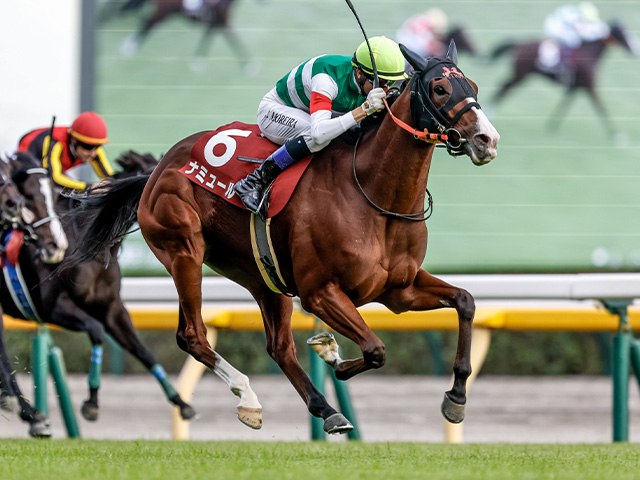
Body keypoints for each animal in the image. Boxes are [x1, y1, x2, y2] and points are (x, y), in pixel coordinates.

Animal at [0, 151, 195, 438]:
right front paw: (91, 403)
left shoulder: (112, 307)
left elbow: (142, 350)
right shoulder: (53, 309)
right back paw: (28, 412)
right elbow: (96, 331)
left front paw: (182, 404)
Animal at [70, 42, 500, 436]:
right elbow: (375, 349)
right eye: (440, 88)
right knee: (193, 335)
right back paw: (249, 397)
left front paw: (456, 398)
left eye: (473, 85)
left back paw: (325, 409)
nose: (487, 139)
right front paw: (334, 355)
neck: (376, 199)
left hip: (261, 275)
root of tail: (158, 168)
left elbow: (465, 301)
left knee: (277, 346)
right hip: (183, 251)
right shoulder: (319, 292)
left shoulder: (399, 290)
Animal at [490, 21, 636, 133]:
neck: (588, 53)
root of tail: (519, 44)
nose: (633, 50)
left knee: (503, 88)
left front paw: (551, 126)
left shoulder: (575, 87)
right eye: (623, 33)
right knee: (504, 88)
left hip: (520, 74)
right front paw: (617, 136)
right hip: (521, 75)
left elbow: (564, 105)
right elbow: (602, 108)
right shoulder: (590, 87)